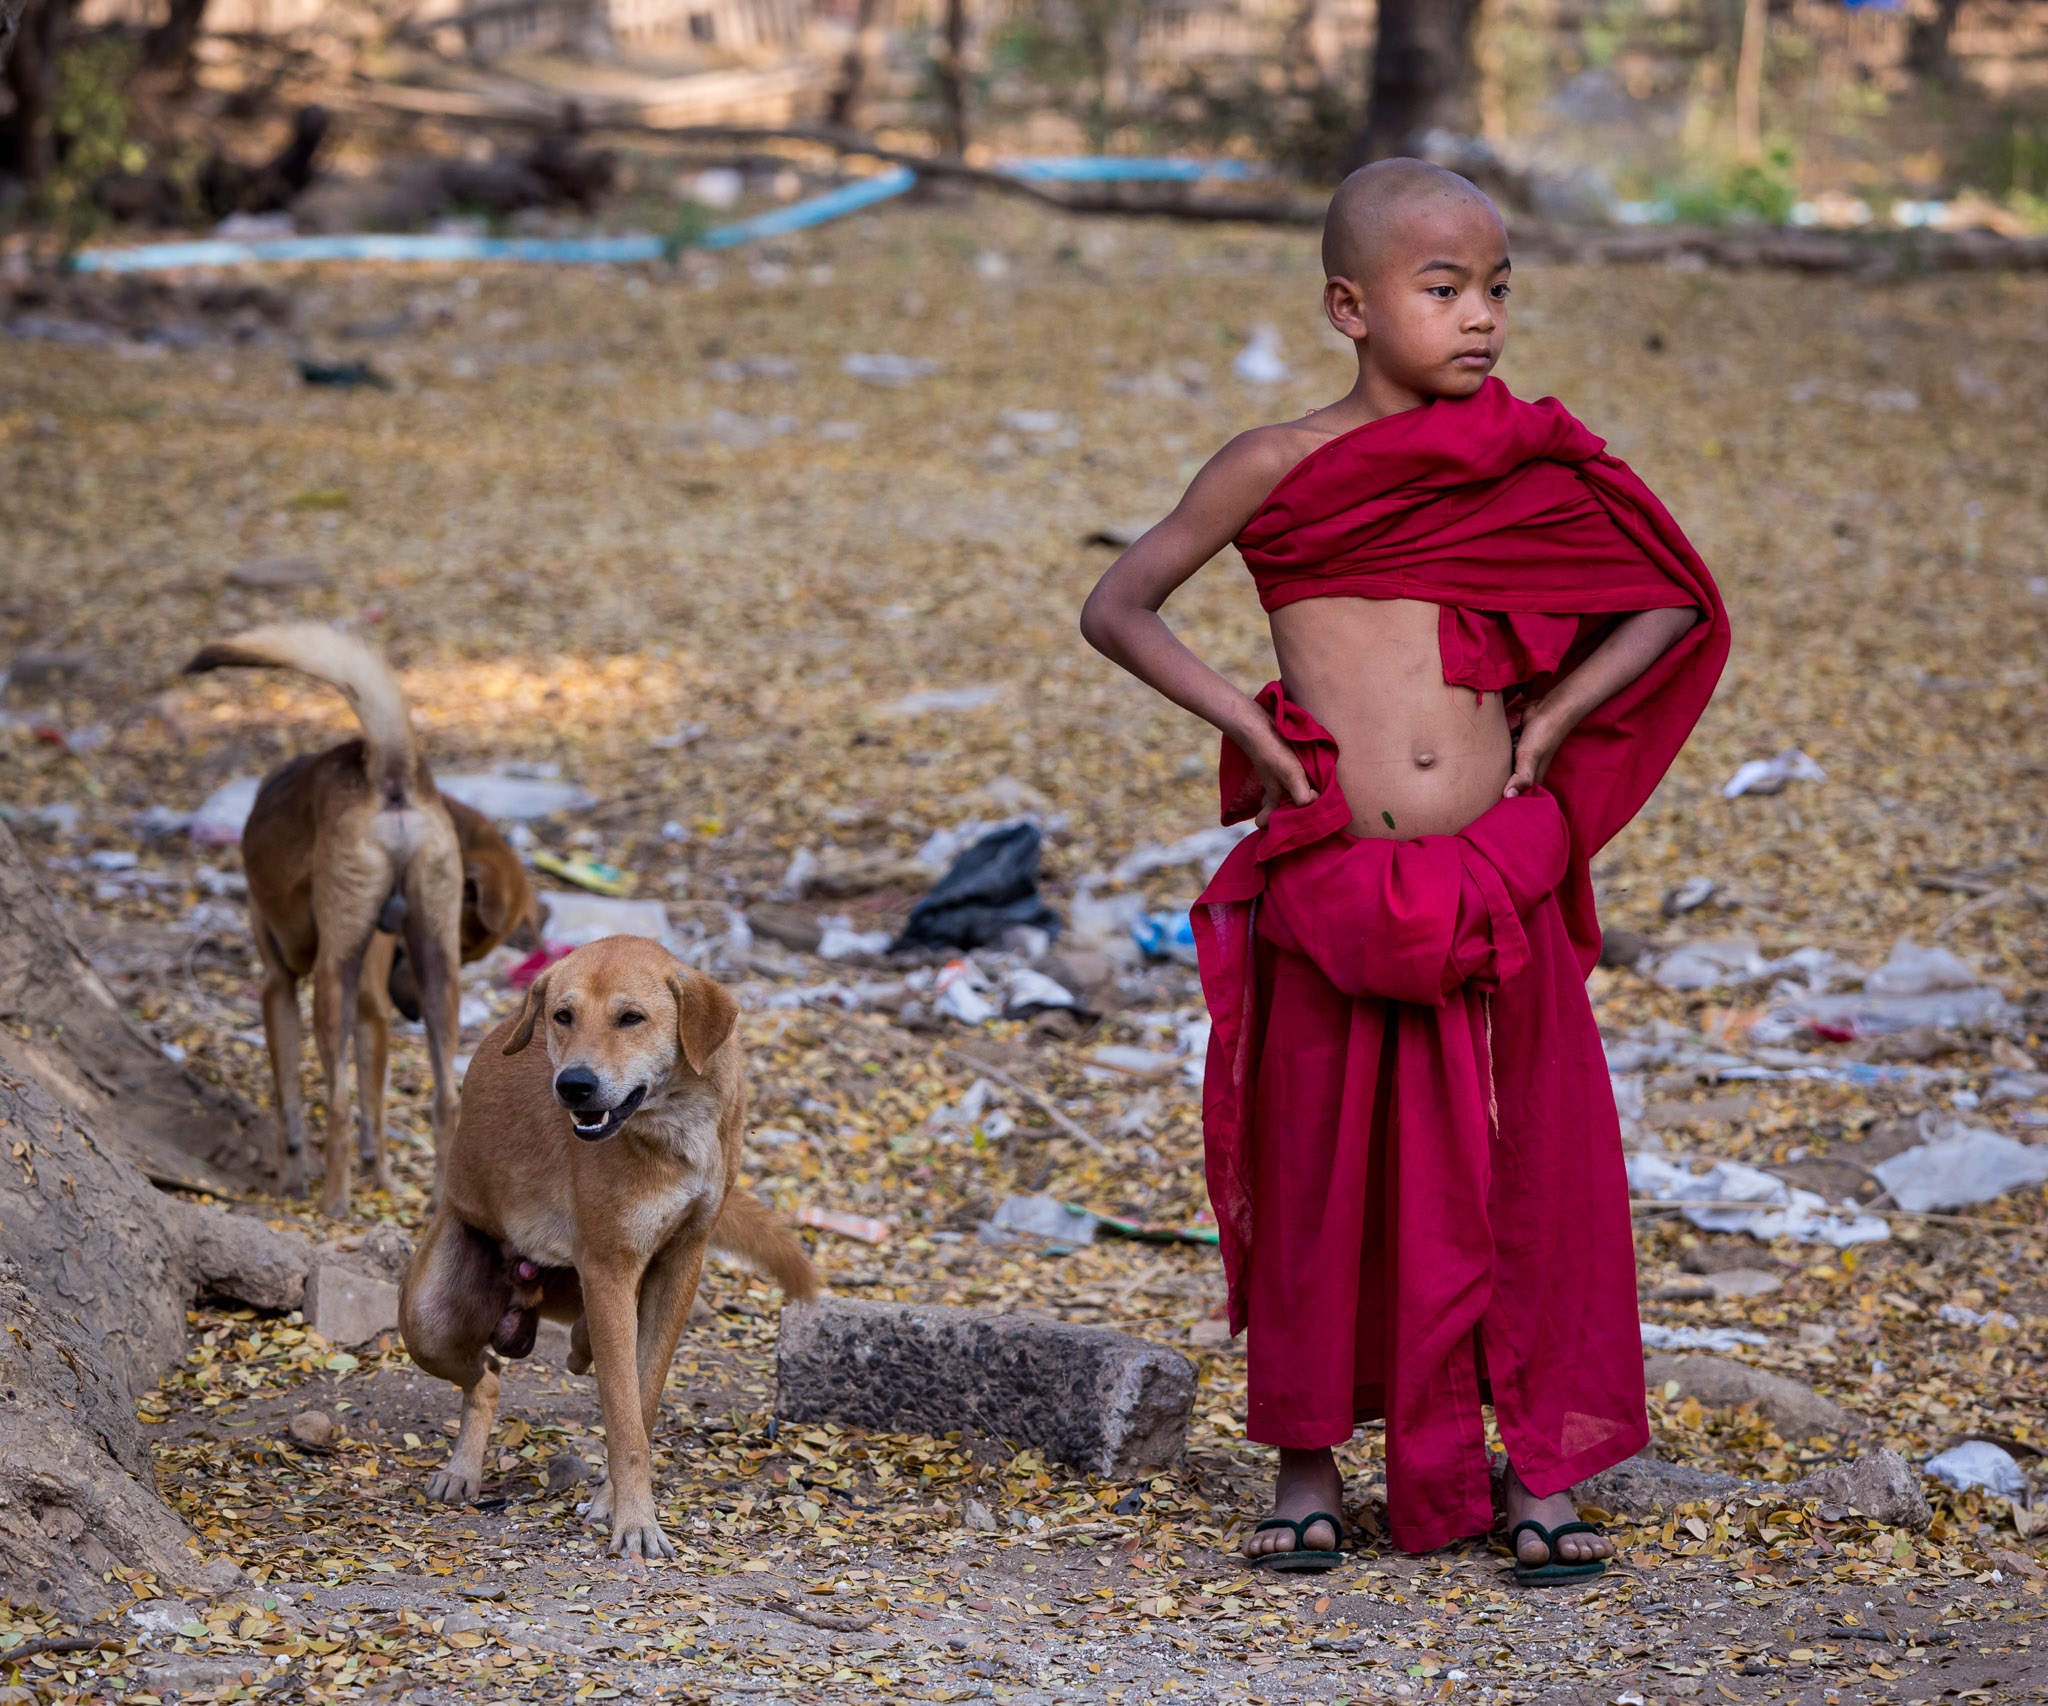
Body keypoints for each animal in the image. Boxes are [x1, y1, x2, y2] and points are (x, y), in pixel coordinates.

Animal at [186, 626, 536, 1212]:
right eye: (469, 950)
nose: (409, 1012)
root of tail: (389, 772)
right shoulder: (378, 1004)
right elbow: (376, 1105)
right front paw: (384, 1177)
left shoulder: (277, 986)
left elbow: (292, 1105)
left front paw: (293, 1179)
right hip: (437, 980)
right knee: (445, 1099)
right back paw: (437, 1201)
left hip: (333, 979)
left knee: (338, 1102)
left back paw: (333, 1202)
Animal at [399, 933, 815, 1556]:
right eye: (562, 1016)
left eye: (631, 1018)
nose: (573, 1086)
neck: (674, 1124)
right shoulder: (610, 1268)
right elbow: (624, 1420)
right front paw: (635, 1520)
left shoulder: (679, 1264)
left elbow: (639, 1402)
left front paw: (612, 1502)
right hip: (428, 1321)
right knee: (488, 1378)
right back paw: (463, 1468)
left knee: (545, 1354)